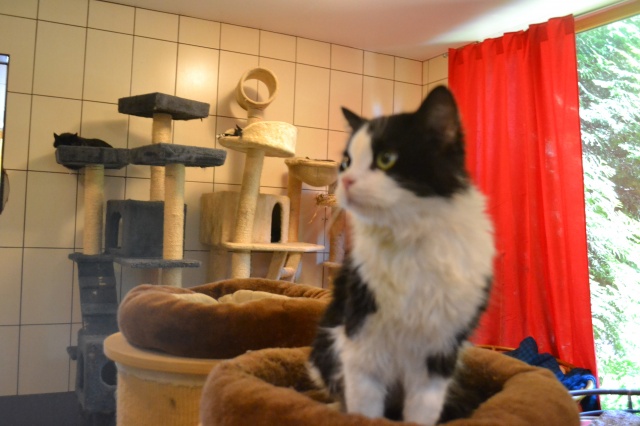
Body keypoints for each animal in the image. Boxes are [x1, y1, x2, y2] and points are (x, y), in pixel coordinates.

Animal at [308, 86, 496, 425]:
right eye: (346, 163)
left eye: (386, 159)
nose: (345, 181)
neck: (410, 241)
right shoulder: (361, 345)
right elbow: (364, 410)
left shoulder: (438, 356)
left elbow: (421, 414)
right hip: (325, 347)